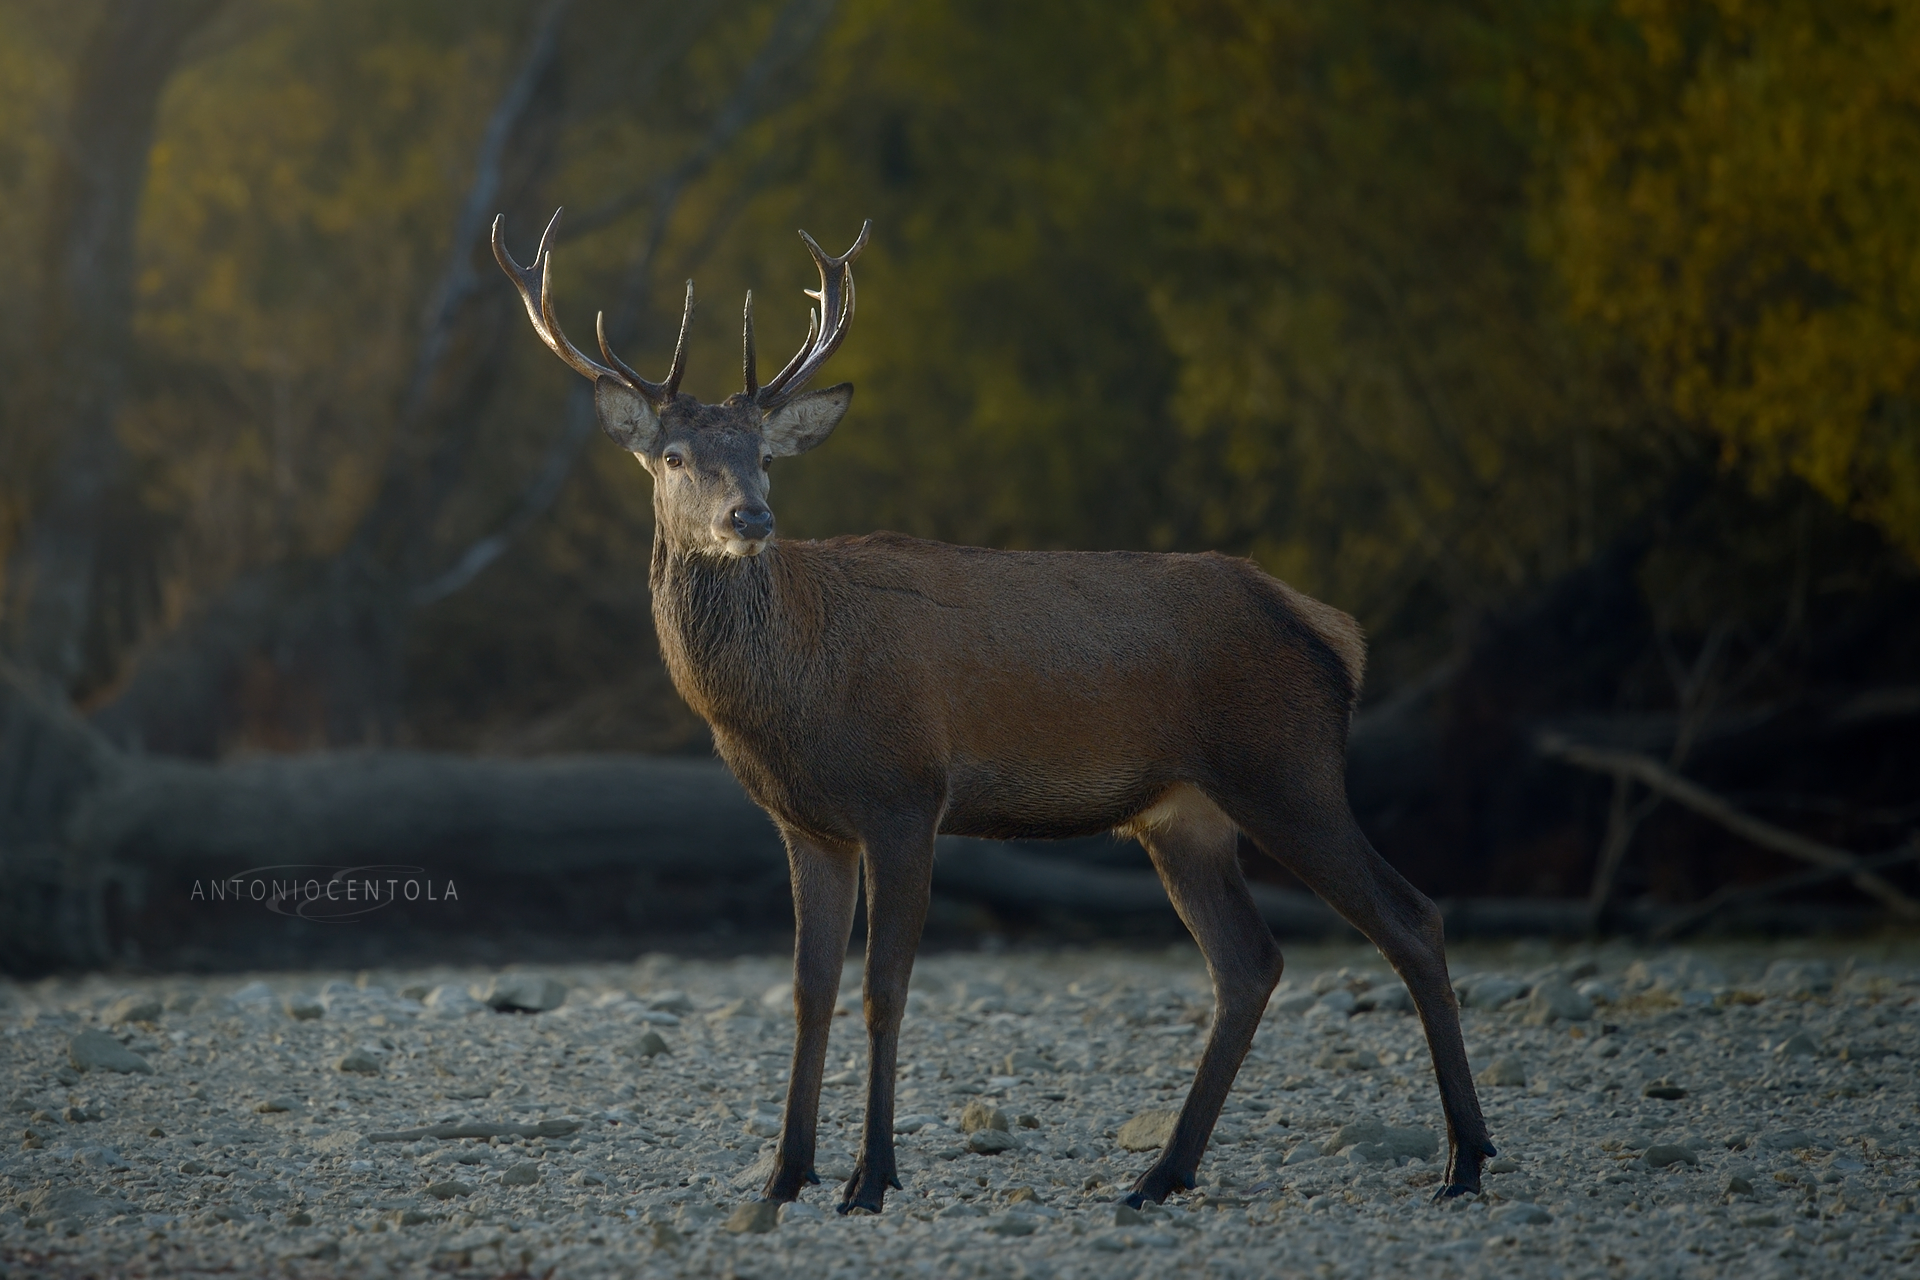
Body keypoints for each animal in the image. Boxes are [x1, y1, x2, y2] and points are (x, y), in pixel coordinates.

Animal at [492, 208, 1496, 1214]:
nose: (750, 518)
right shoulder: (807, 824)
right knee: (1250, 962)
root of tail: (1334, 631)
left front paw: (871, 1177)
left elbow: (884, 989)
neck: (788, 699)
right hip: (1183, 815)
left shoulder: (906, 795)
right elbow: (808, 991)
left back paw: (1466, 1160)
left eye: (764, 456)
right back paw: (1162, 1173)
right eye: (674, 456)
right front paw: (784, 1175)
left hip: (1286, 768)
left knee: (1412, 917)